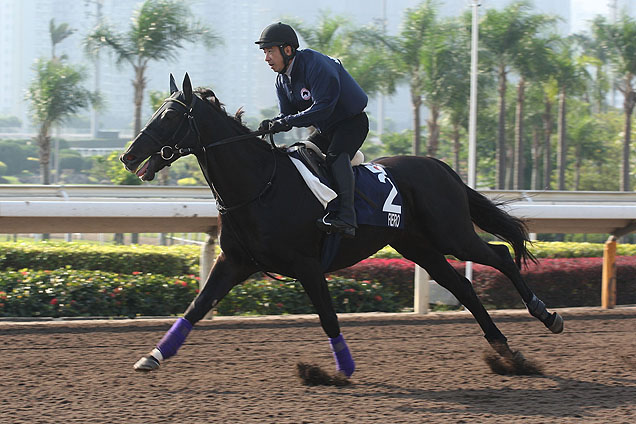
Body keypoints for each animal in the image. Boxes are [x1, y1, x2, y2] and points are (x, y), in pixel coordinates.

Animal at [121, 74, 564, 376]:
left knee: (501, 255)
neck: (260, 187)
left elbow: (328, 316)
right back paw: (504, 349)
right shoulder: (234, 262)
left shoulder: (306, 265)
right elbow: (196, 307)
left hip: (450, 233)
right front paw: (152, 356)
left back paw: (546, 315)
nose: (128, 156)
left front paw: (341, 370)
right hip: (418, 246)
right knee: (463, 286)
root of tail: (442, 167)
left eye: (170, 115)